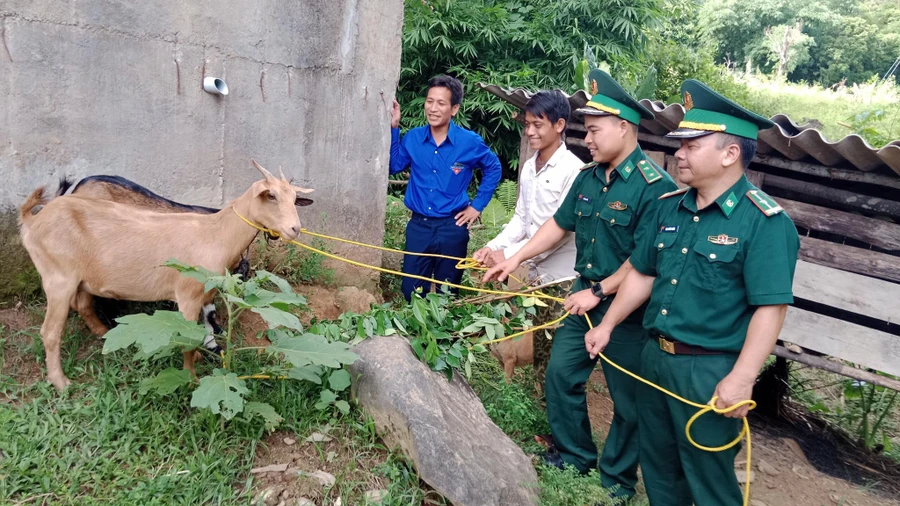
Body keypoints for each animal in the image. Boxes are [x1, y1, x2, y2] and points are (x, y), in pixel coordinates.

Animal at [18, 160, 312, 390]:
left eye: (294, 199)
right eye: (271, 196)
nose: (295, 228)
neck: (215, 233)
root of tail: (33, 219)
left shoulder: (205, 292)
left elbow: (204, 326)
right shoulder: (187, 295)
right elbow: (188, 340)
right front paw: (191, 377)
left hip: (78, 278)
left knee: (82, 304)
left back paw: (104, 334)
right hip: (58, 278)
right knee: (50, 331)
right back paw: (61, 382)